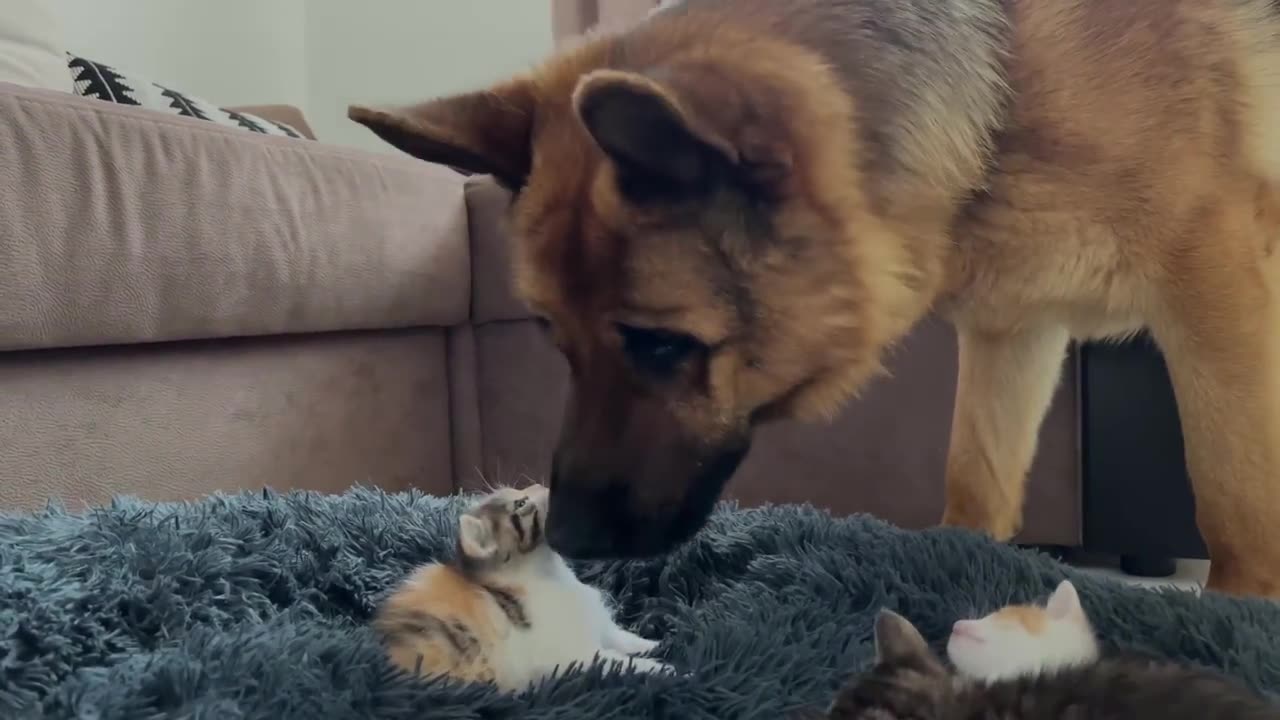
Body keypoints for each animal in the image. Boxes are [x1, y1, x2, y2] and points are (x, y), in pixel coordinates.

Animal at [355, 0, 1280, 594]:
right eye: (554, 337)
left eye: (663, 345)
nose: (571, 541)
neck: (1012, 81)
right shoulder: (1014, 330)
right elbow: (977, 475)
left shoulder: (1219, 291)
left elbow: (1237, 501)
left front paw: (1238, 621)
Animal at [371, 481, 670, 691]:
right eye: (521, 502)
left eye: (518, 492)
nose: (545, 484)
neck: (550, 572)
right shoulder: (574, 656)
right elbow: (614, 662)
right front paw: (660, 668)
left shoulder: (595, 622)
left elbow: (619, 636)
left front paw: (653, 643)